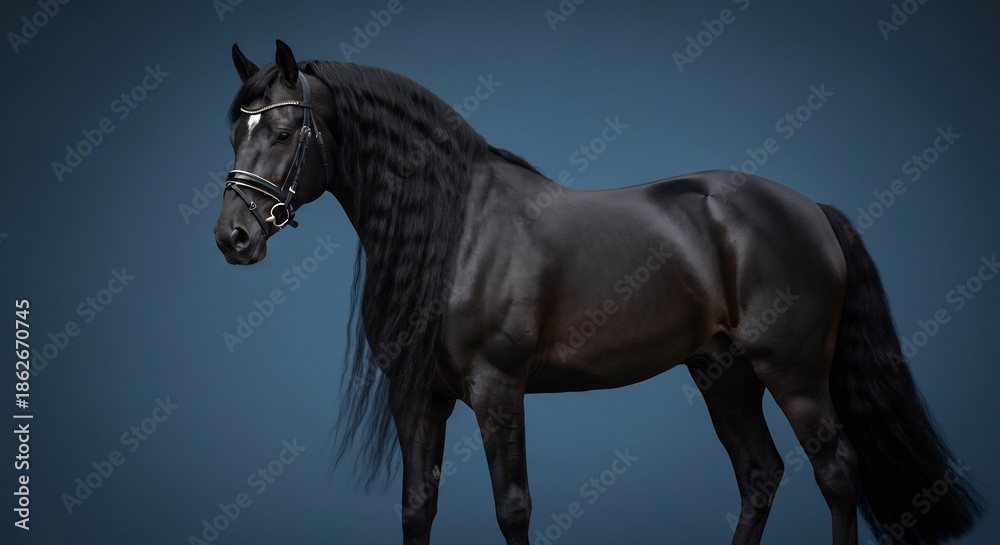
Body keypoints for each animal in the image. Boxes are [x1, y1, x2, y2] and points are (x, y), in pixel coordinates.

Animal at [212, 40, 983, 545]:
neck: (458, 228)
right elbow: (416, 507)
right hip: (723, 372)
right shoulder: (417, 394)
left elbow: (513, 506)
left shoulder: (498, 388)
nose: (233, 237)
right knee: (760, 474)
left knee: (837, 472)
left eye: (286, 128)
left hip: (793, 372)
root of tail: (809, 209)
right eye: (232, 130)